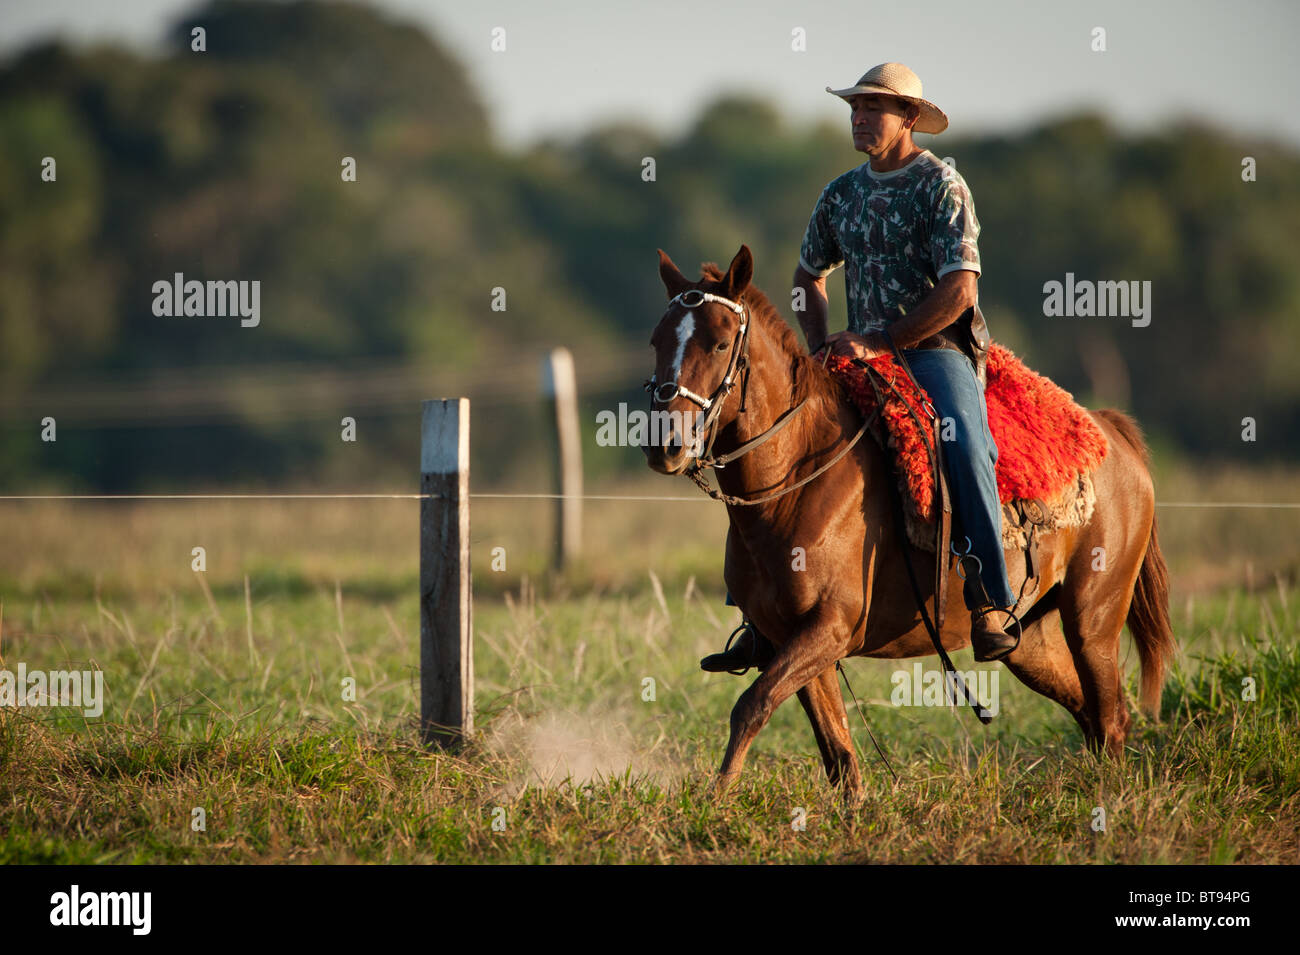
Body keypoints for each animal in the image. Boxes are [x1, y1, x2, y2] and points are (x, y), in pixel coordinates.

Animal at [643, 244, 1176, 801]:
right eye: (657, 339)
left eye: (721, 342)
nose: (665, 445)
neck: (799, 481)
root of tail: (1110, 432)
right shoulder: (789, 636)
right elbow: (837, 750)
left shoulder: (831, 627)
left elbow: (751, 706)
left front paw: (716, 797)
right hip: (1031, 640)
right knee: (1087, 711)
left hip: (1093, 618)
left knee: (1111, 716)